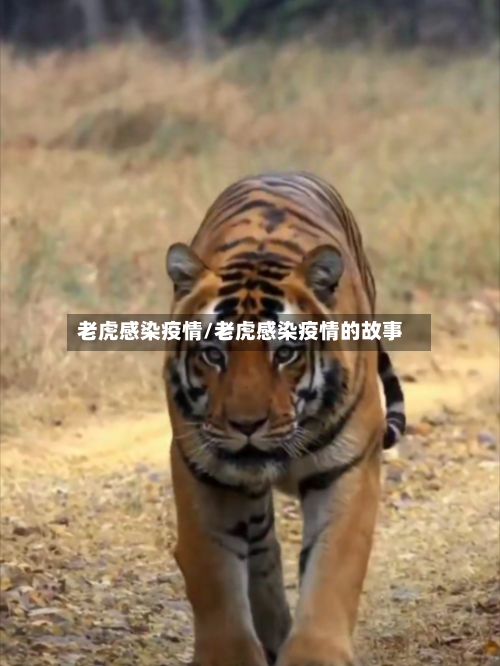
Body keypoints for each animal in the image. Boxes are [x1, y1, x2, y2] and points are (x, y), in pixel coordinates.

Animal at [163, 171, 406, 666]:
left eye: (286, 353)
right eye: (213, 354)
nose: (247, 425)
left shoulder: (348, 467)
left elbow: (332, 569)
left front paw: (315, 656)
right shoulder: (200, 468)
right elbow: (212, 572)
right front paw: (231, 657)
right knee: (261, 547)